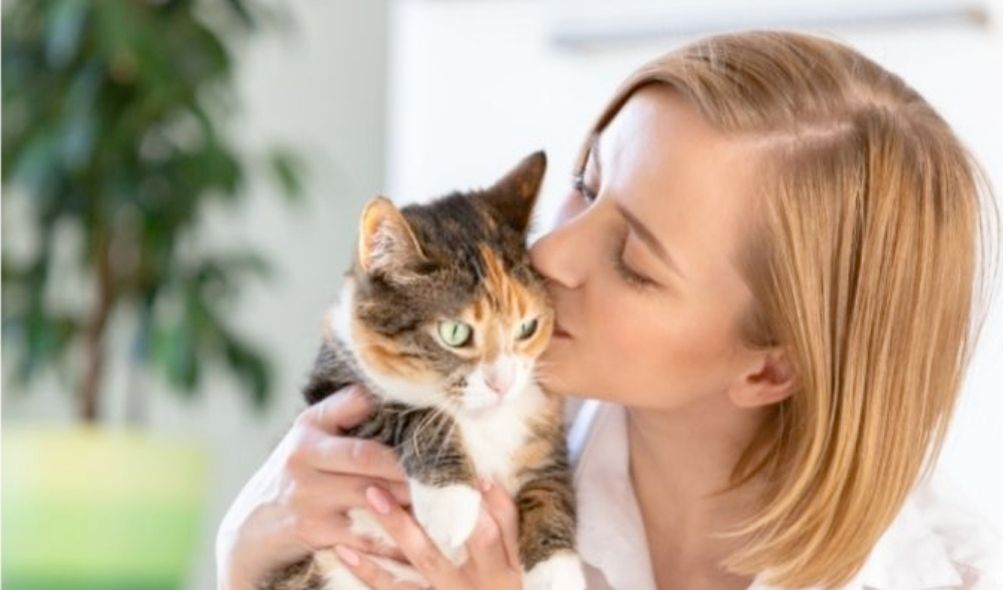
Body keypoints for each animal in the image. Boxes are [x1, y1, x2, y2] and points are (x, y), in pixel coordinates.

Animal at [261, 150, 586, 590]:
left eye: (527, 327)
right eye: (454, 332)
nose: (502, 383)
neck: (483, 424)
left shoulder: (542, 428)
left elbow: (551, 484)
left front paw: (558, 571)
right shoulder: (332, 388)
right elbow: (407, 414)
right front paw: (451, 504)